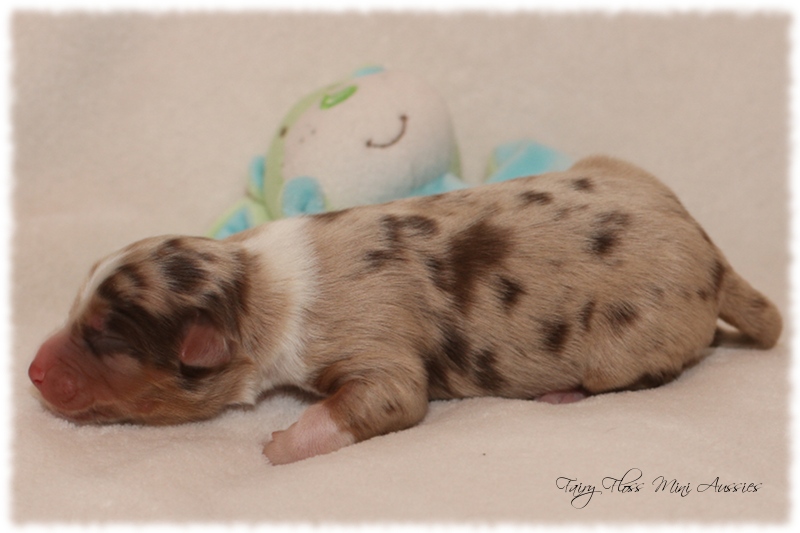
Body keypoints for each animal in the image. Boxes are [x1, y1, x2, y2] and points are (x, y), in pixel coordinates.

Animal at [26, 154, 780, 462]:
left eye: (108, 340)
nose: (31, 370)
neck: (255, 282)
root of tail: (713, 253)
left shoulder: (372, 345)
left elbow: (390, 398)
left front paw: (282, 441)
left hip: (624, 344)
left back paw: (565, 393)